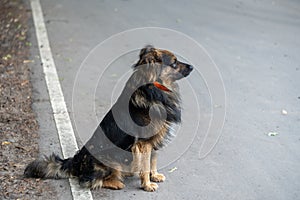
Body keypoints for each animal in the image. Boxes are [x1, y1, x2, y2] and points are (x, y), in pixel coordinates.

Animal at [24, 45, 193, 192]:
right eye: (174, 63)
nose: (192, 67)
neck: (155, 86)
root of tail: (76, 161)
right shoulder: (144, 143)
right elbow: (145, 164)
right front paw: (147, 184)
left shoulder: (154, 140)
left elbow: (153, 160)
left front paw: (154, 176)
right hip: (111, 157)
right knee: (90, 181)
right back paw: (116, 182)